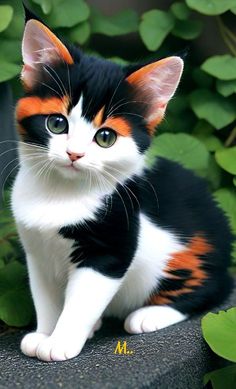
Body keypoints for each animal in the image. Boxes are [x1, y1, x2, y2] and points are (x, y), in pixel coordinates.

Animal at [11, 8, 232, 360]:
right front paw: (44, 332)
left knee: (216, 289)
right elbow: (44, 295)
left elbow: (81, 300)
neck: (61, 193)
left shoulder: (111, 246)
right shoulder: (36, 251)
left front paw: (60, 341)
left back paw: (149, 315)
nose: (74, 154)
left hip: (191, 257)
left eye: (106, 137)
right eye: (57, 124)